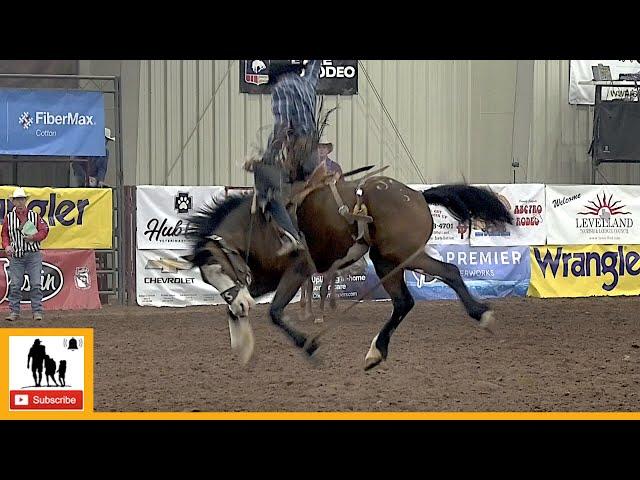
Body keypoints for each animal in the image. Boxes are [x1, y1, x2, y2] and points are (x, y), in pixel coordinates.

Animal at [184, 178, 510, 370]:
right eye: (207, 278)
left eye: (221, 267)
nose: (241, 304)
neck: (261, 226)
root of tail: (417, 194)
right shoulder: (262, 281)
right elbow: (234, 308)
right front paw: (243, 345)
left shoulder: (298, 270)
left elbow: (275, 313)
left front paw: (309, 345)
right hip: (391, 261)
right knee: (415, 295)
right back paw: (379, 351)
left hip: (398, 257)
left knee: (438, 278)